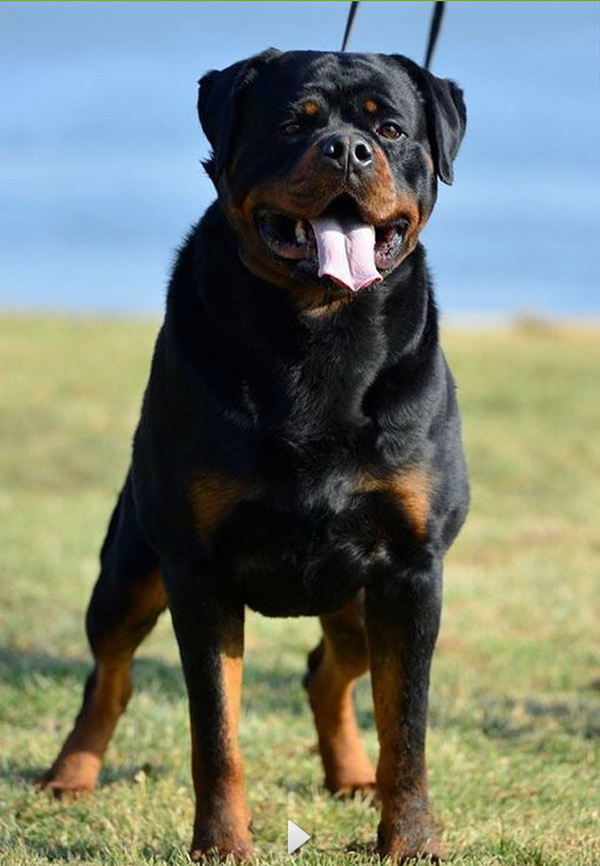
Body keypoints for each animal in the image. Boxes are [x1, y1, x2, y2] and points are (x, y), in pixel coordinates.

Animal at [39, 50, 472, 860]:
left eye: (390, 129)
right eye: (292, 123)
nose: (346, 149)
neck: (319, 332)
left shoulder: (410, 568)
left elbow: (407, 728)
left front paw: (409, 840)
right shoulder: (197, 567)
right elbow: (216, 731)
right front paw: (222, 843)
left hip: (355, 600)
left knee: (327, 674)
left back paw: (350, 774)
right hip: (130, 568)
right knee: (109, 673)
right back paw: (70, 774)